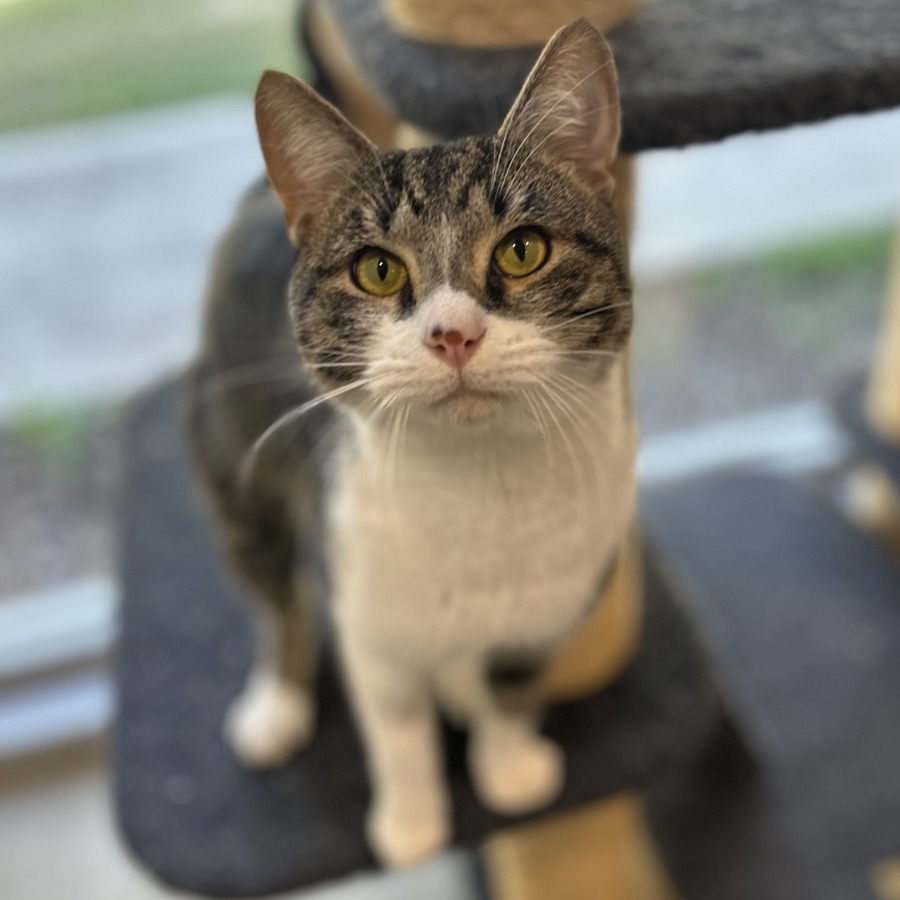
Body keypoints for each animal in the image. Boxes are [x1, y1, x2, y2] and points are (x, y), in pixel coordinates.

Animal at [187, 19, 636, 868]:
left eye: (523, 249)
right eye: (377, 269)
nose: (452, 333)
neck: (481, 490)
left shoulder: (555, 599)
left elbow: (514, 685)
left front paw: (508, 765)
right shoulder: (364, 593)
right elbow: (395, 722)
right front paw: (412, 821)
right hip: (229, 448)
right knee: (273, 593)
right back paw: (277, 702)